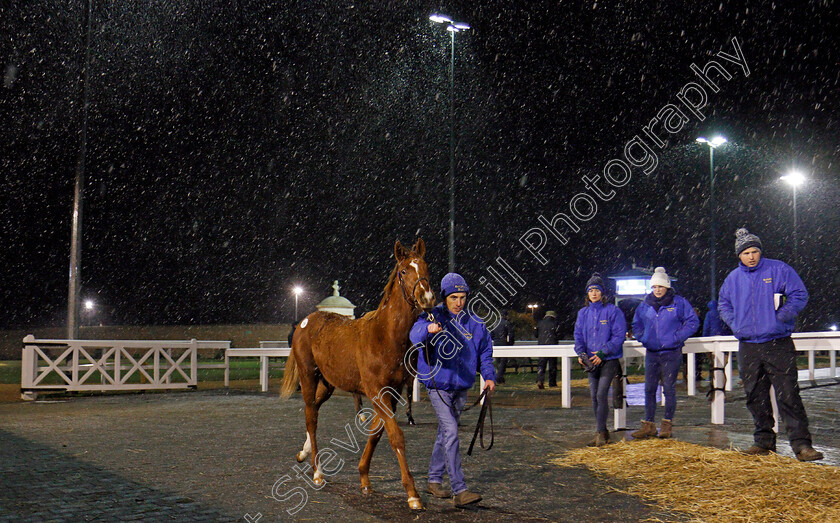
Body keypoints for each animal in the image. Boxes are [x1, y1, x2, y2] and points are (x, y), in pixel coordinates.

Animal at [280, 241, 434, 512]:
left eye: (426, 266)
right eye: (404, 270)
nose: (426, 298)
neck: (384, 336)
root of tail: (305, 321)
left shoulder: (391, 393)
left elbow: (377, 433)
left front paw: (364, 478)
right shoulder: (376, 391)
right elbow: (395, 436)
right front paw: (413, 495)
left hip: (328, 383)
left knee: (315, 409)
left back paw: (304, 453)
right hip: (308, 376)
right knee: (311, 417)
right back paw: (317, 471)